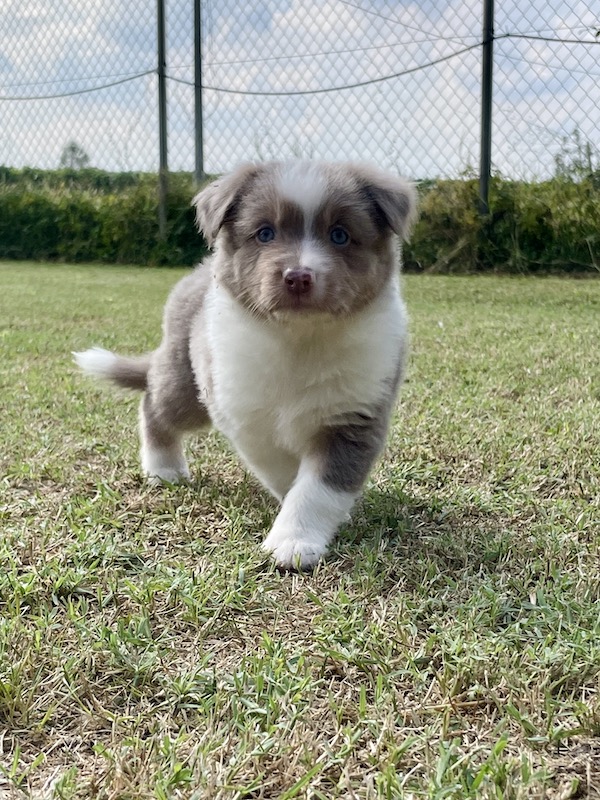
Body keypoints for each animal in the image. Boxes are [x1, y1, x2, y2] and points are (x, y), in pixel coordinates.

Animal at [72, 159, 414, 568]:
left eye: (340, 235)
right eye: (265, 233)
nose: (298, 277)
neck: (300, 340)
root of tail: (198, 271)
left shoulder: (354, 416)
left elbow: (318, 487)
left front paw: (295, 540)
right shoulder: (246, 414)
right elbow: (285, 473)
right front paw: (293, 532)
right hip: (188, 383)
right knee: (155, 404)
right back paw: (164, 468)